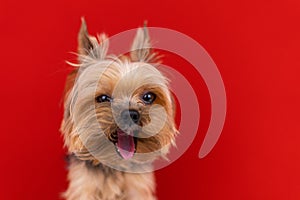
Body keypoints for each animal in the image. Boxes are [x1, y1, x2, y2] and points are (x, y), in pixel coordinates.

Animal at [61, 18, 178, 199]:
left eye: (148, 97)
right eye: (103, 98)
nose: (131, 113)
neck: (116, 164)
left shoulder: (137, 190)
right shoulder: (83, 188)